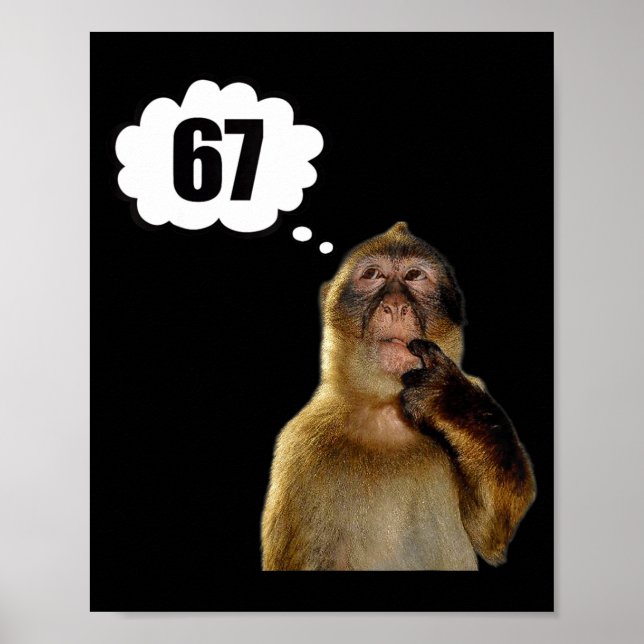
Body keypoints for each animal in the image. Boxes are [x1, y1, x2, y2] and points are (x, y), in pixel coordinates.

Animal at [261, 222, 536, 571]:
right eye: (373, 274)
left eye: (414, 275)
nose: (394, 305)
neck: (385, 410)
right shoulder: (300, 448)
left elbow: (491, 531)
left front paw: (449, 398)